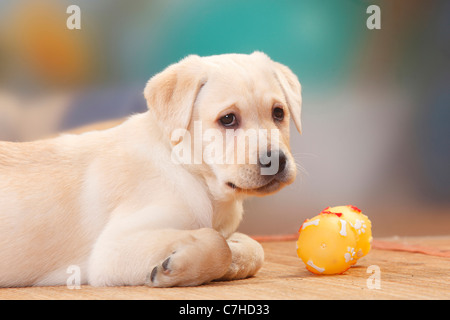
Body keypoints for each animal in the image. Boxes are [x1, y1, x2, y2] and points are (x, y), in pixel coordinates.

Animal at [0, 52, 304, 288]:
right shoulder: (112, 251)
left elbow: (254, 248)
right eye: (228, 119)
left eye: (279, 113)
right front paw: (177, 267)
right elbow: (218, 243)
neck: (192, 175)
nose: (277, 161)